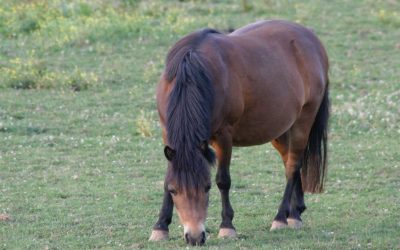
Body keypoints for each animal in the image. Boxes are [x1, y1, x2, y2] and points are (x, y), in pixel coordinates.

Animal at [149, 20, 328, 246]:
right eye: (174, 190)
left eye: (206, 187)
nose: (195, 237)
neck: (192, 72)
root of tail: (312, 39)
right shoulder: (167, 133)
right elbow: (166, 179)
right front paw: (160, 227)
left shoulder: (224, 136)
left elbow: (223, 180)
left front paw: (227, 226)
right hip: (280, 129)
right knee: (290, 161)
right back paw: (295, 212)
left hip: (303, 120)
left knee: (292, 167)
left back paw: (282, 217)